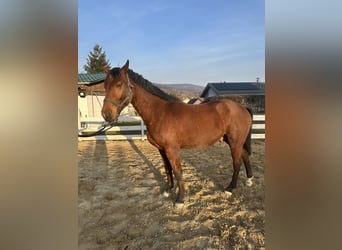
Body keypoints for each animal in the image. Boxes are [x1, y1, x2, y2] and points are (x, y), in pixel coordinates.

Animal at [101, 60, 254, 207]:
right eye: (105, 85)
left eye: (119, 84)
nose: (106, 114)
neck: (160, 112)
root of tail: (242, 107)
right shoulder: (162, 149)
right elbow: (168, 169)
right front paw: (168, 190)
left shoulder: (172, 150)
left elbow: (177, 171)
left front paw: (180, 199)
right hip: (231, 140)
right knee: (244, 155)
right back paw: (249, 180)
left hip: (234, 142)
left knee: (237, 162)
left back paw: (230, 188)